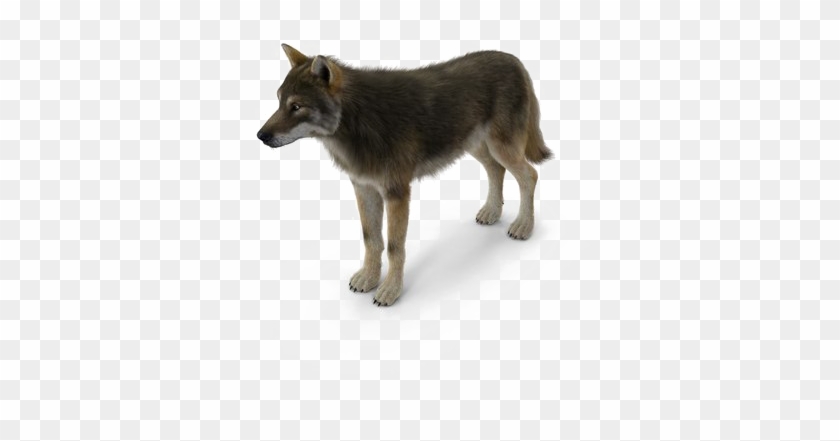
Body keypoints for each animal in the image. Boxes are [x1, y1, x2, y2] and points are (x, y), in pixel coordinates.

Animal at [257, 44, 553, 306]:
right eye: (280, 101)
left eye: (296, 107)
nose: (261, 136)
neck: (359, 121)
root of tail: (513, 59)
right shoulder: (364, 188)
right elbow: (371, 239)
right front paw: (368, 278)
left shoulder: (397, 193)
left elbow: (394, 248)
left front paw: (390, 290)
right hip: (477, 146)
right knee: (496, 169)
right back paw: (492, 212)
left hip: (501, 148)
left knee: (529, 175)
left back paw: (523, 226)